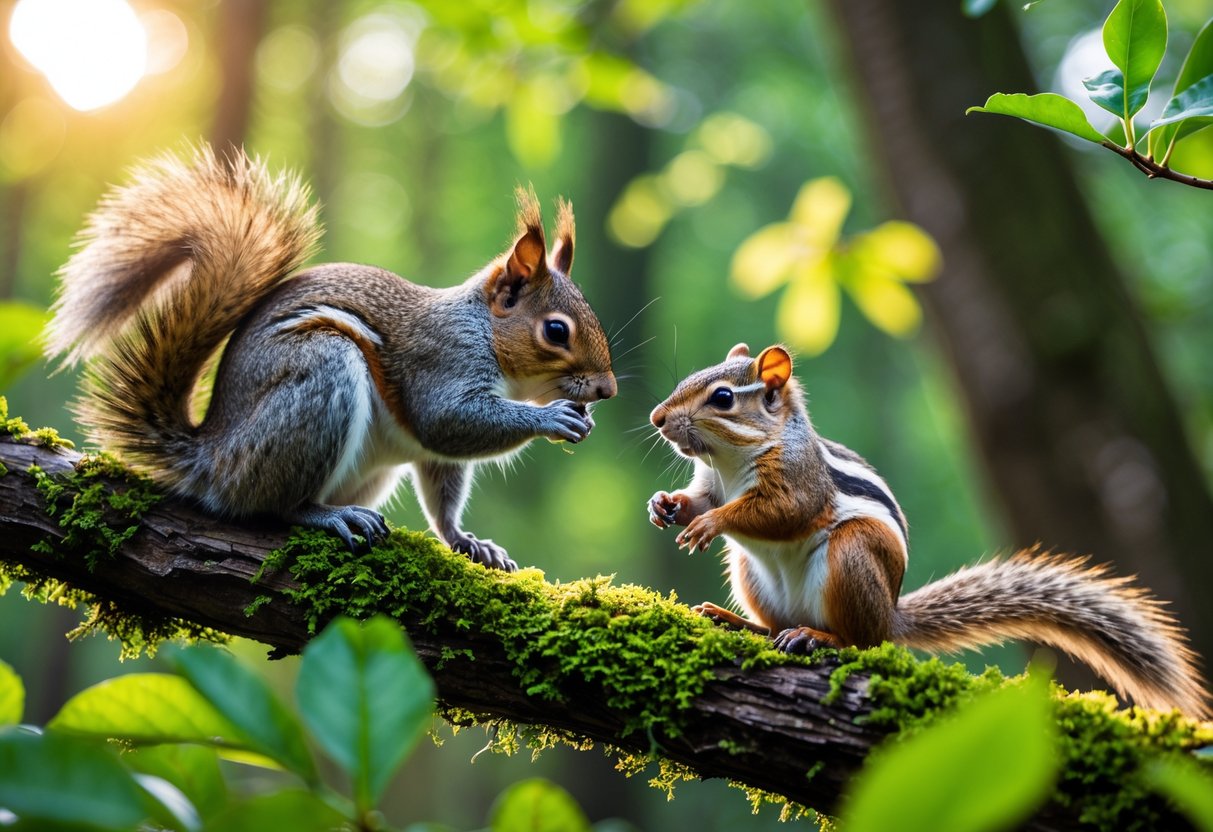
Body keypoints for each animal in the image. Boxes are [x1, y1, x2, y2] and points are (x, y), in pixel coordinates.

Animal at [45, 144, 617, 571]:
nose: (607, 390)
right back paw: (325, 516)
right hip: (321, 374)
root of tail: (211, 455)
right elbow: (448, 421)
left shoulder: (438, 457)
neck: (484, 332)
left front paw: (467, 541)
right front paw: (551, 418)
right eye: (556, 330)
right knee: (269, 506)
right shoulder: (442, 362)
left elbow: (443, 493)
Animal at [647, 342, 1209, 717]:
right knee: (772, 626)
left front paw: (712, 523)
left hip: (852, 557)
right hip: (749, 572)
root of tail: (891, 614)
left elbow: (781, 512)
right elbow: (700, 500)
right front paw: (666, 505)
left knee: (863, 643)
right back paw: (736, 621)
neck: (729, 462)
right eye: (694, 375)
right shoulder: (712, 483)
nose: (656, 417)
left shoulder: (799, 482)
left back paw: (817, 636)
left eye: (722, 397)